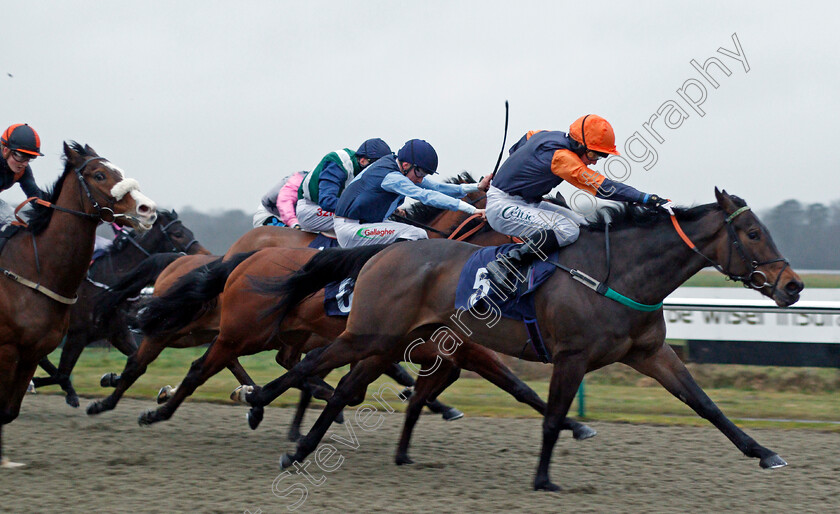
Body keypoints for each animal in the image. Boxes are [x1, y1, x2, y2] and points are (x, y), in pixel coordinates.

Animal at [0, 139, 157, 464]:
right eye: (99, 175)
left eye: (119, 171)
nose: (148, 209)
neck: (35, 271)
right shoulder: (10, 349)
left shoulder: (34, 351)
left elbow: (9, 411)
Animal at [32, 207, 210, 404]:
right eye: (178, 234)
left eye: (190, 232)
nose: (204, 255)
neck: (109, 279)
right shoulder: (78, 335)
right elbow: (62, 374)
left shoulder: (117, 332)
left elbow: (138, 363)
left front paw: (109, 378)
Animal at [241, 187, 800, 488]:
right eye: (752, 234)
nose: (792, 285)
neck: (619, 273)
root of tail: (386, 249)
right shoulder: (570, 356)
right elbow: (548, 413)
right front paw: (545, 477)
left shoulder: (649, 353)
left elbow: (705, 404)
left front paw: (764, 452)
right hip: (371, 333)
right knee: (310, 368)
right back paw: (257, 402)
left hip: (388, 343)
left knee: (340, 390)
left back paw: (299, 448)